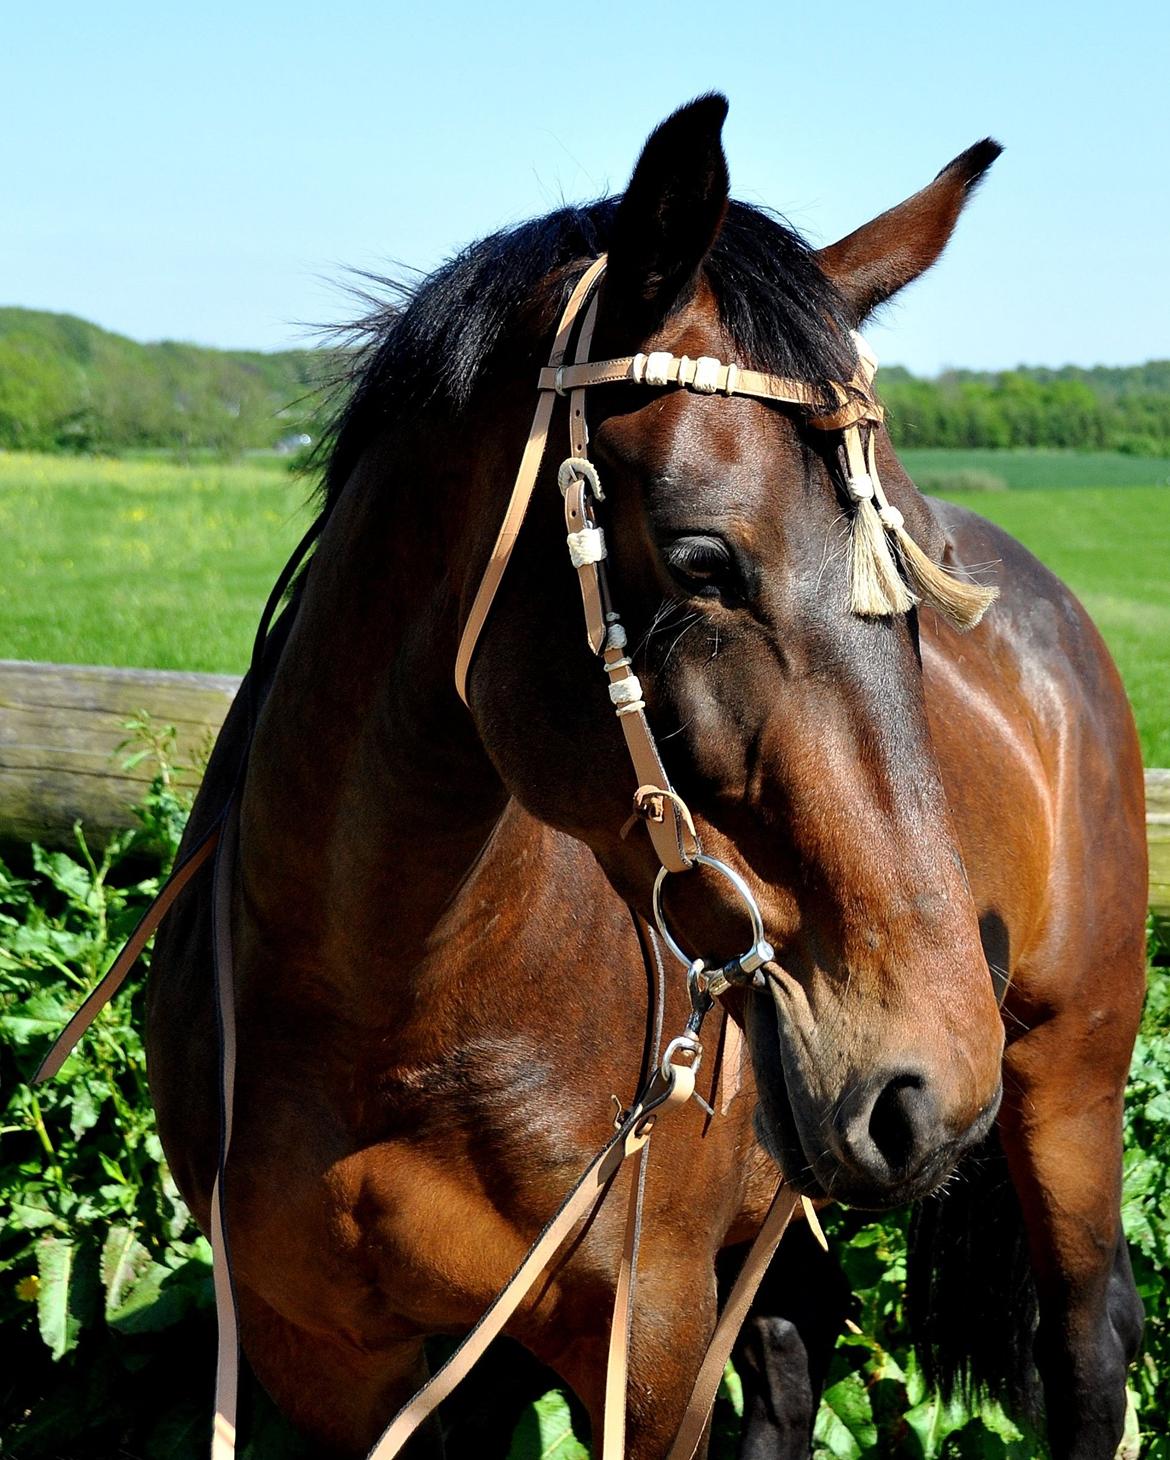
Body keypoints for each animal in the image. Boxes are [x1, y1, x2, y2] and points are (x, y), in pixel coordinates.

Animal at [143, 97, 1139, 1454]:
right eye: (704, 557)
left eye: (918, 561)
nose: (932, 1075)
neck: (381, 1016)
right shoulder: (328, 1359)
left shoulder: (648, 1337)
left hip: (1070, 1093)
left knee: (1087, 1358)